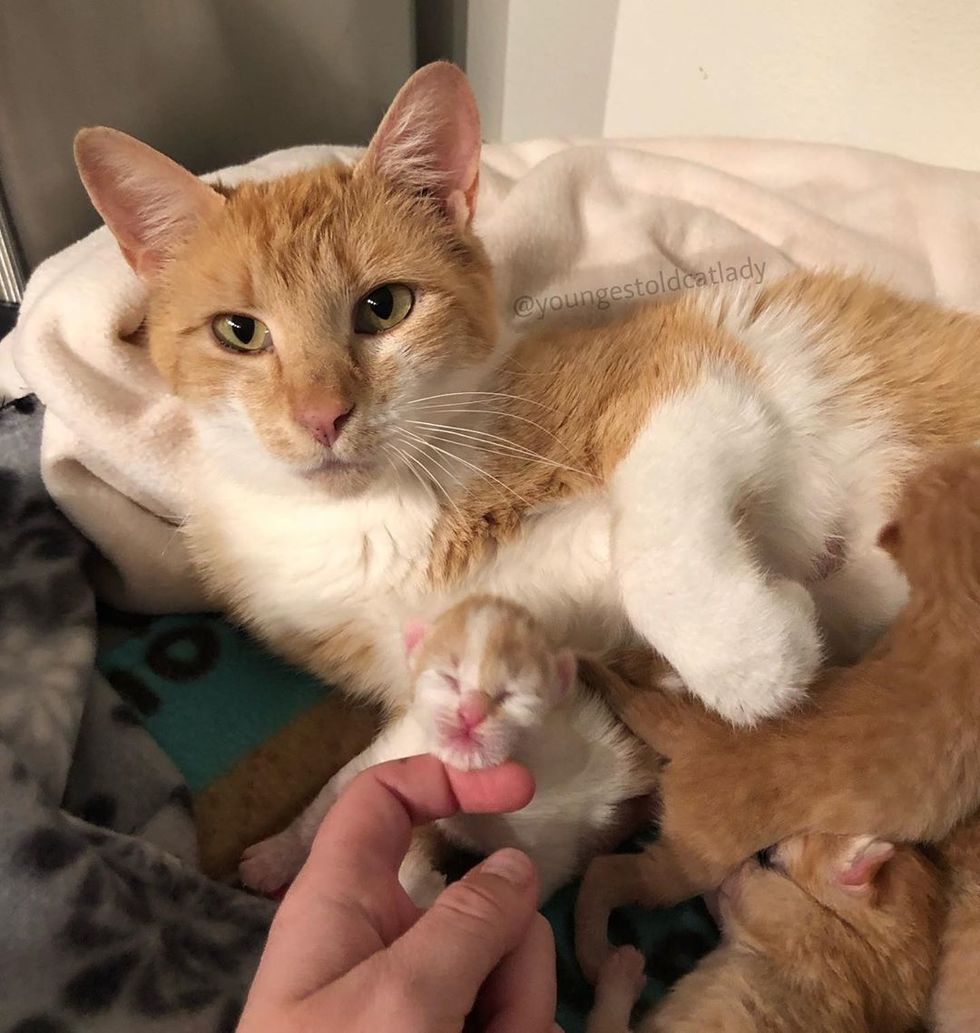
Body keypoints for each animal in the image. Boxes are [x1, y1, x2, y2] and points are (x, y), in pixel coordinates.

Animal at [74, 62, 980, 735]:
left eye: (384, 306)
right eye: (240, 331)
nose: (321, 415)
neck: (379, 520)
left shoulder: (692, 369)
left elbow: (653, 543)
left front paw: (755, 654)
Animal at [238, 599, 652, 904]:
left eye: (511, 695)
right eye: (448, 678)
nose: (471, 713)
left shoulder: (554, 835)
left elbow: (536, 876)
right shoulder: (400, 744)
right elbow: (335, 794)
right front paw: (273, 856)